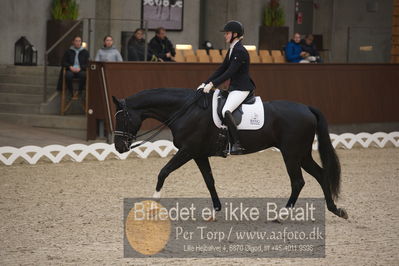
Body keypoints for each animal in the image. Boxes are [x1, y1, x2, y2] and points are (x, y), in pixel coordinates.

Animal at [113, 88, 350, 219]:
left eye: (122, 117)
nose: (119, 147)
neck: (186, 110)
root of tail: (307, 108)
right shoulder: (198, 154)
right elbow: (209, 181)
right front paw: (214, 210)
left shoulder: (187, 150)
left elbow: (163, 172)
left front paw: (153, 205)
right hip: (301, 154)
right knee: (321, 175)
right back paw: (335, 209)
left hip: (291, 154)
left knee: (298, 182)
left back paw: (281, 215)